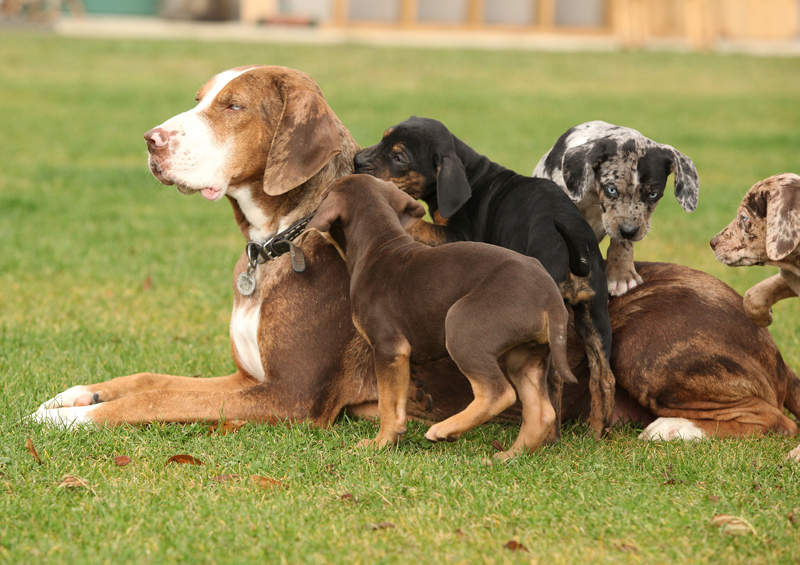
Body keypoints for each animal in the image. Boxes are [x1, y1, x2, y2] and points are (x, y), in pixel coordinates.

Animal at [304, 175, 576, 458]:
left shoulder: (389, 347)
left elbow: (387, 403)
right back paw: (507, 456)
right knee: (542, 413)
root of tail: (550, 297)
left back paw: (444, 430)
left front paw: (380, 442)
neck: (377, 244)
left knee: (498, 392)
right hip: (525, 357)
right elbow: (399, 400)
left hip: (462, 328)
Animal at [354, 114, 612, 436]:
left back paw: (550, 436)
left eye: (398, 156)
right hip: (595, 315)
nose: (356, 161)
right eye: (383, 138)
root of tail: (573, 237)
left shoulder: (457, 235)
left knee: (554, 379)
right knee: (604, 376)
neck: (471, 176)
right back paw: (598, 432)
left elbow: (421, 225)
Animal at [536, 119, 700, 296]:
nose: (629, 231)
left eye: (653, 194)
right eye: (611, 189)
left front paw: (621, 275)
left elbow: (622, 243)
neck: (593, 195)